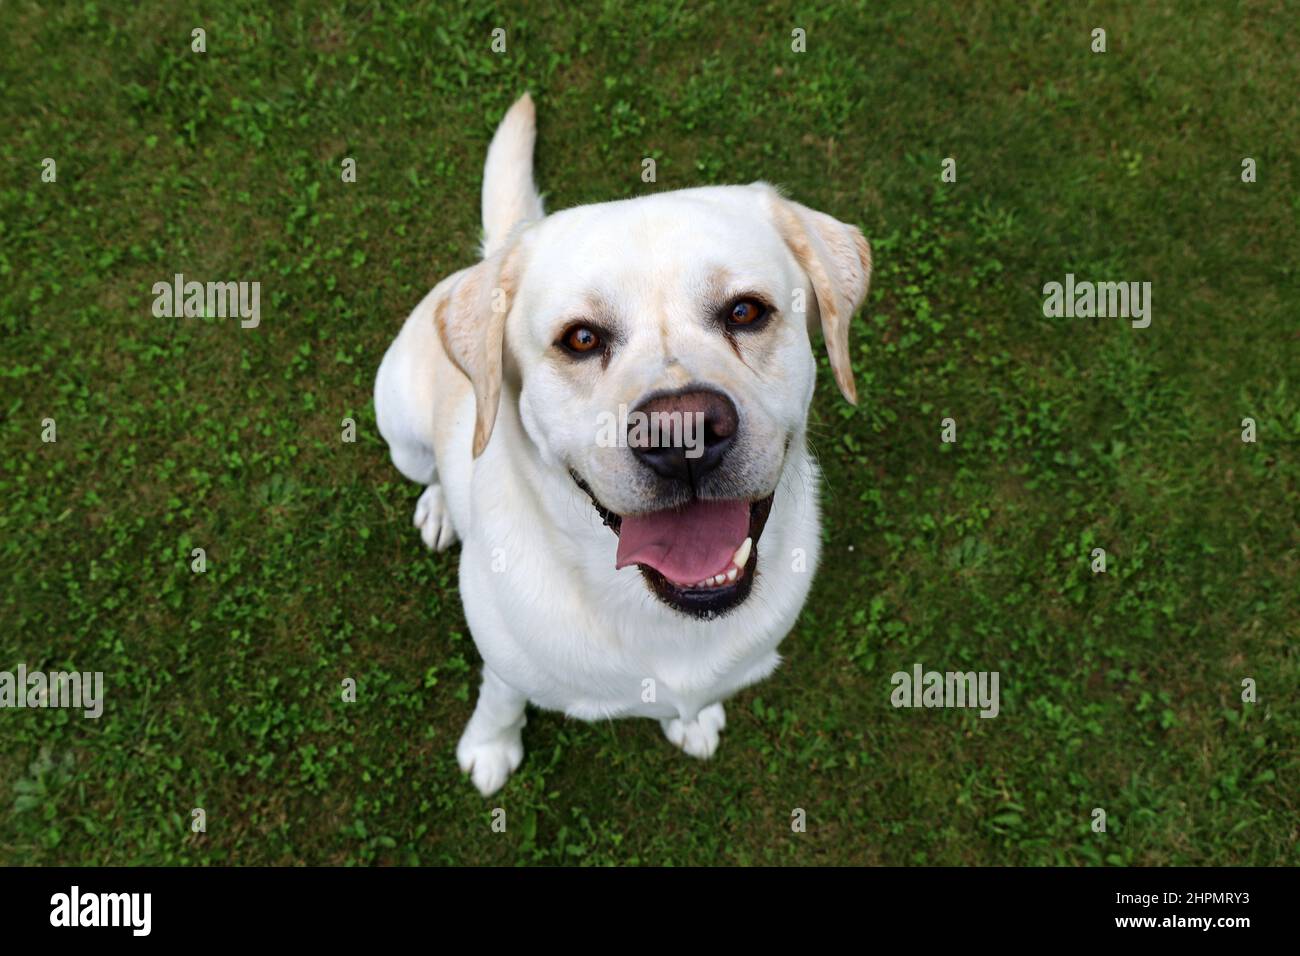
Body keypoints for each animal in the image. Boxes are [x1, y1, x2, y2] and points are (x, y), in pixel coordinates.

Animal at [371, 93, 868, 796]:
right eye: (580, 339)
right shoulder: (504, 662)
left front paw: (694, 721)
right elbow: (500, 699)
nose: (682, 432)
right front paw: (490, 748)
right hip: (402, 432)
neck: (657, 616)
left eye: (746, 311)